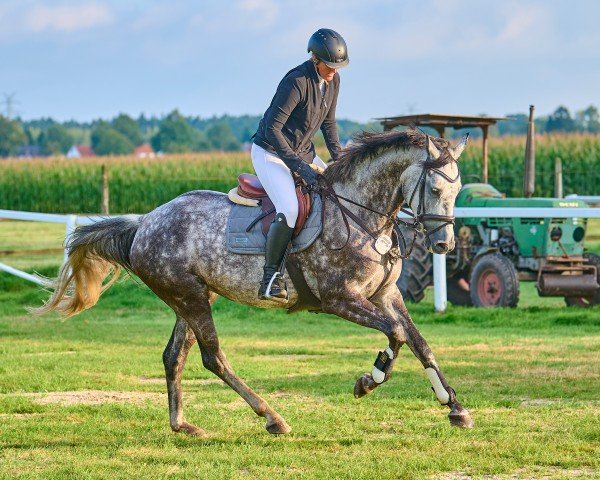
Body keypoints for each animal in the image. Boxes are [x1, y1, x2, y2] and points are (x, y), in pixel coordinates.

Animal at [32, 130, 474, 436]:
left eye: (457, 189)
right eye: (436, 187)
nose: (444, 244)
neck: (361, 215)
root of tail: (143, 224)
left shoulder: (386, 294)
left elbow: (418, 341)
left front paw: (454, 406)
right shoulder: (339, 299)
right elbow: (396, 334)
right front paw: (368, 382)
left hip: (193, 296)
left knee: (174, 356)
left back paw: (182, 425)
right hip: (191, 297)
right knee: (214, 358)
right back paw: (272, 417)